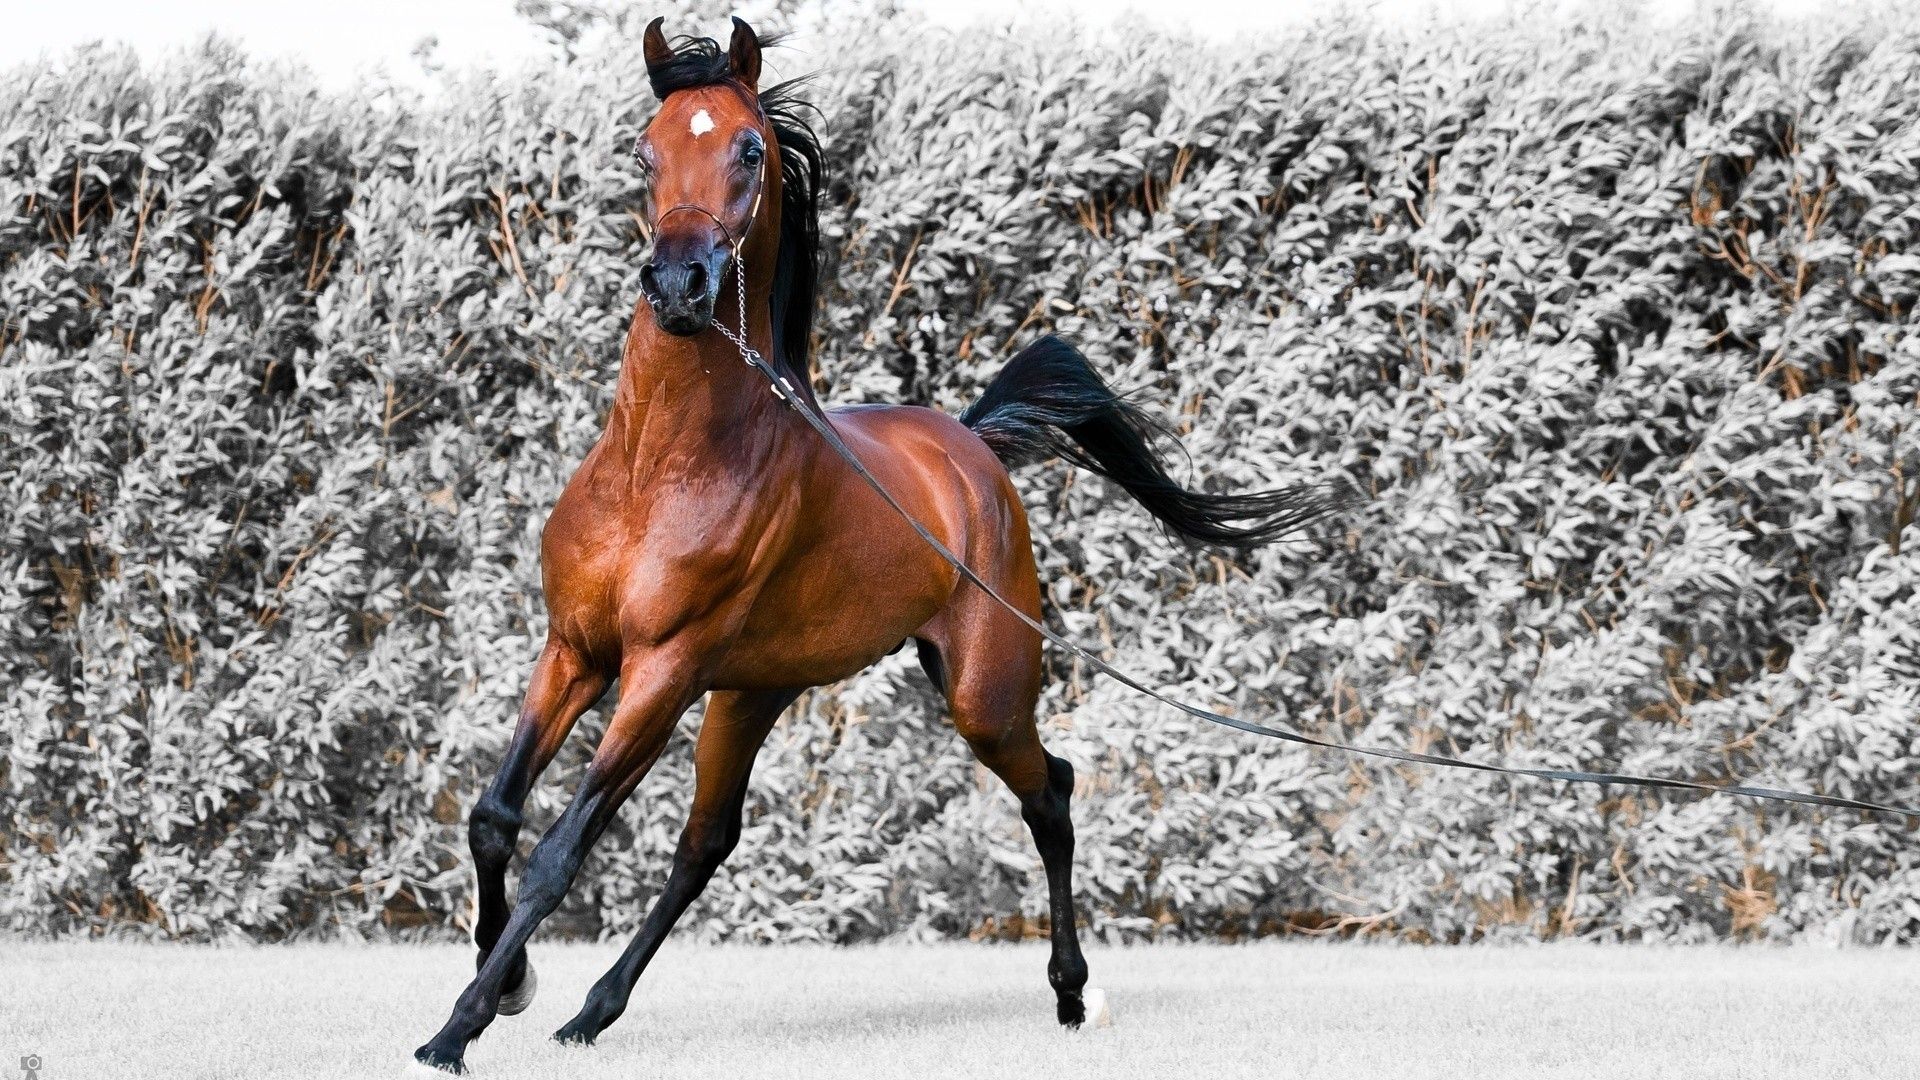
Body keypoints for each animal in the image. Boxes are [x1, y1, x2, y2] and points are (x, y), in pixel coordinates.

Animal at [412, 17, 1333, 1073]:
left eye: (750, 150)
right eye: (643, 150)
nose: (680, 286)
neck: (657, 470)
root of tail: (973, 446)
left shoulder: (658, 671)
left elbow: (559, 853)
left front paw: (457, 1027)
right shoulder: (573, 649)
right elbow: (494, 818)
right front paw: (511, 984)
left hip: (980, 693)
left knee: (1051, 794)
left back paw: (1072, 995)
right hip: (751, 693)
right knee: (706, 842)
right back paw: (589, 1013)